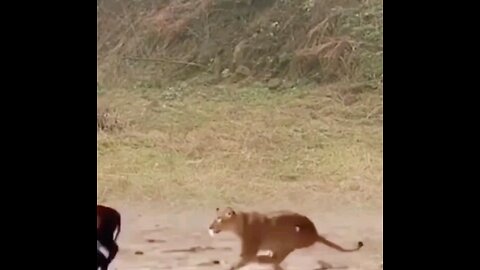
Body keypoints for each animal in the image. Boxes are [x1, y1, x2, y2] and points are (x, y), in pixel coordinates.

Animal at [208, 208, 362, 268]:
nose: (210, 227)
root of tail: (315, 235)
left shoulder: (248, 251)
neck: (240, 223)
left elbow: (240, 261)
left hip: (289, 241)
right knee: (275, 260)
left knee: (274, 259)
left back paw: (263, 258)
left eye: (219, 219)